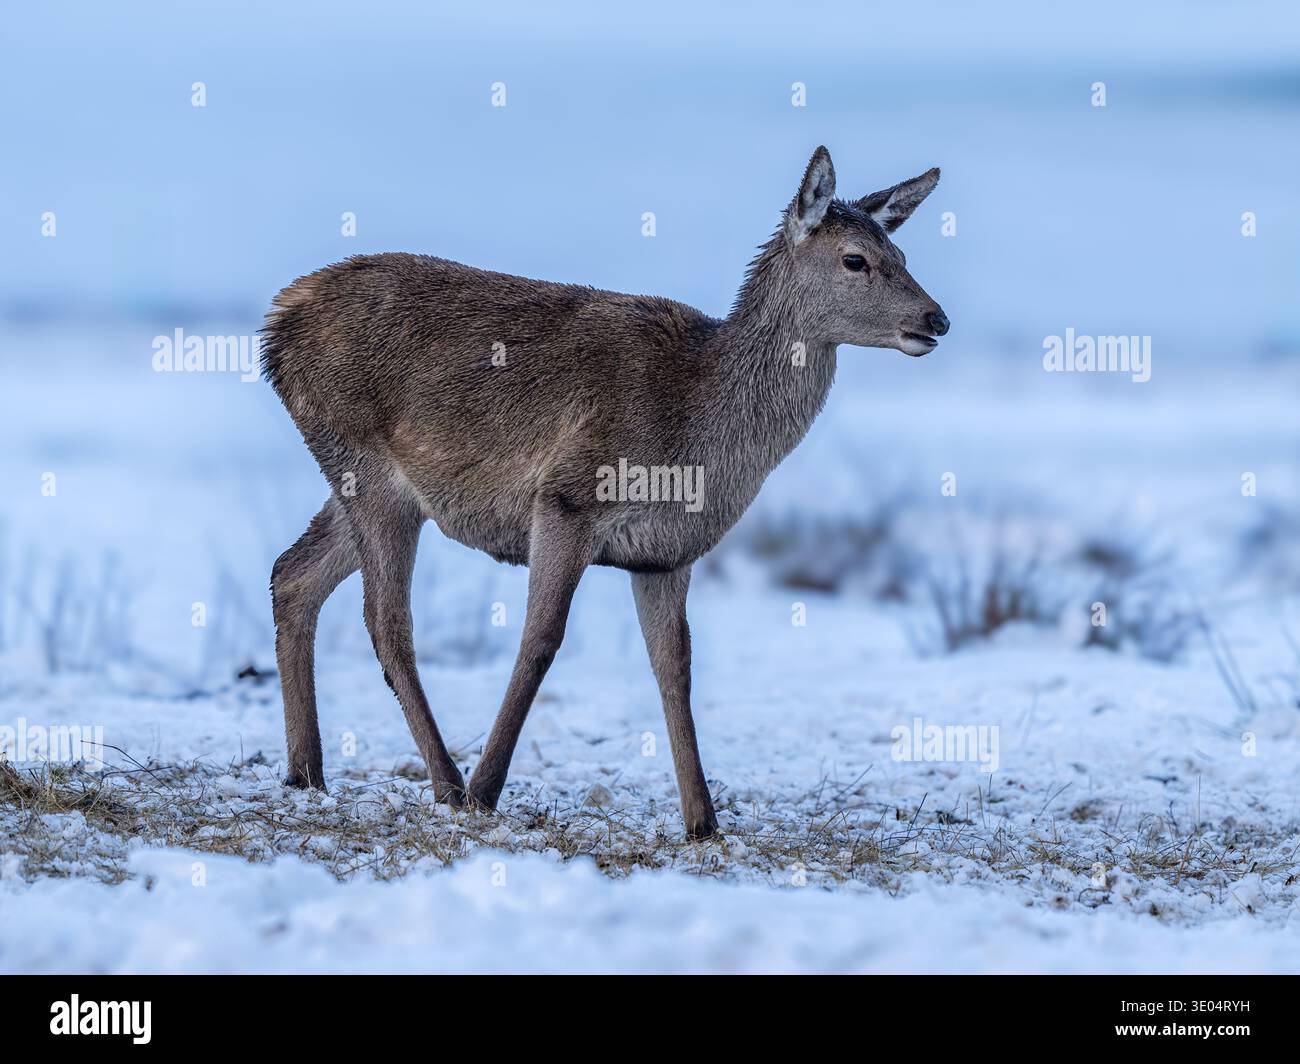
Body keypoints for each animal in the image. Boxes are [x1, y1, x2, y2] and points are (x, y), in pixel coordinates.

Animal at [263, 146, 948, 839]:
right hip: (366, 464)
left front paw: (702, 821)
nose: (936, 319)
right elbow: (540, 641)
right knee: (385, 621)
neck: (699, 429)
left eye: (902, 253)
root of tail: (276, 321)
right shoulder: (568, 498)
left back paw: (306, 771)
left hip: (368, 483)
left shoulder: (666, 553)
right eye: (855, 259)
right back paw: (448, 782)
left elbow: (675, 668)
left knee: (292, 573)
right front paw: (488, 790)